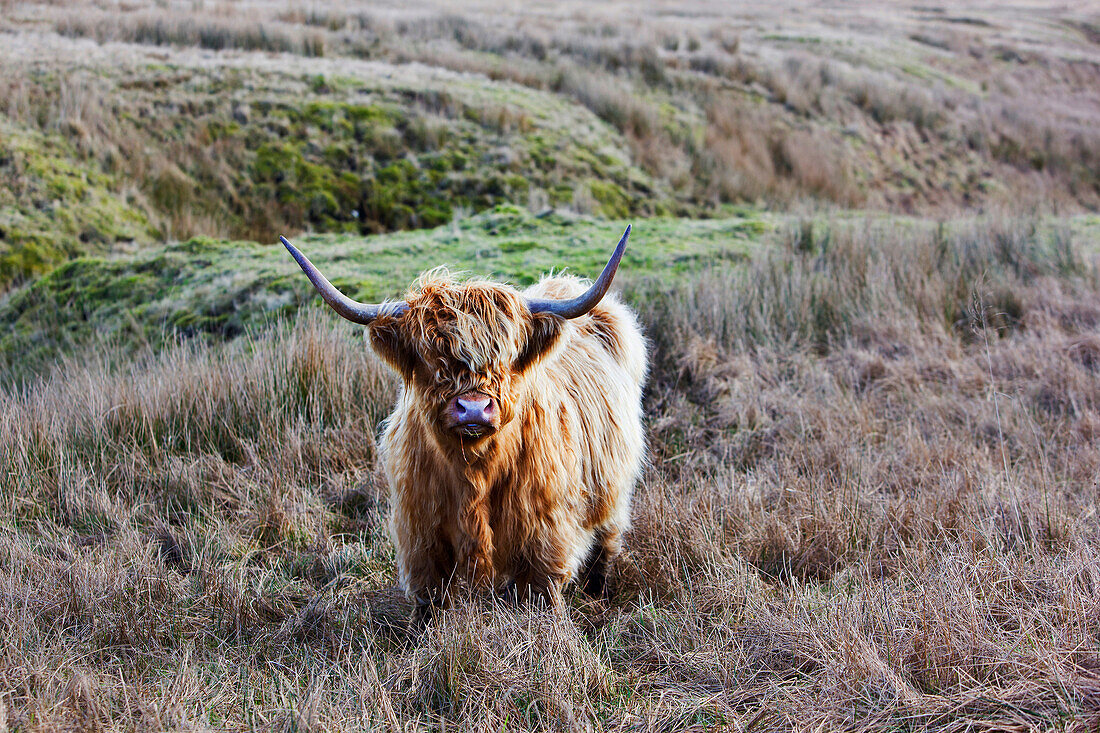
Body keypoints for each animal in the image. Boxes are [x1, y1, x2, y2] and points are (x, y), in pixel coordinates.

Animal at [279, 228, 646, 616]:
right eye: (429, 357)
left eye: (506, 356)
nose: (473, 409)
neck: (474, 471)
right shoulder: (422, 538)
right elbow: (430, 600)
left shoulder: (544, 536)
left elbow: (540, 594)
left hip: (612, 496)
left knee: (605, 545)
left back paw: (597, 593)